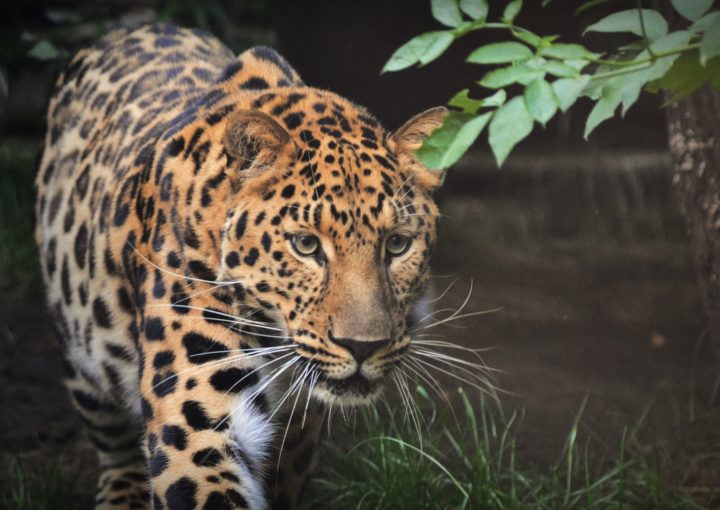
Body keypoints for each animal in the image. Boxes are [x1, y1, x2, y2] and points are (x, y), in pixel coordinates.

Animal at [36, 23, 448, 510]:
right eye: (306, 245)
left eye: (397, 244)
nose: (362, 347)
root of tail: (134, 26)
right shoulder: (198, 426)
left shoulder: (299, 431)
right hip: (82, 354)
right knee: (115, 445)